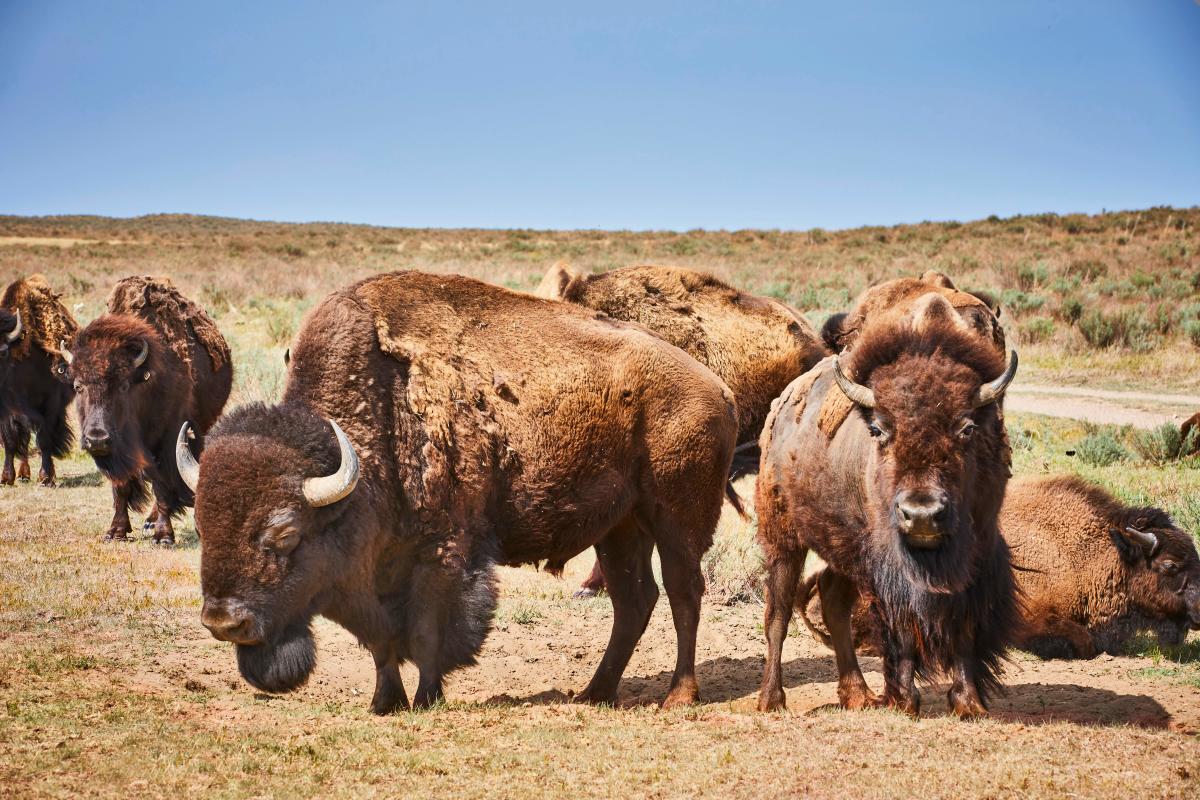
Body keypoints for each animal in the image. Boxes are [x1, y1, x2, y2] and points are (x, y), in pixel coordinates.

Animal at [0, 275, 77, 489]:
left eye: (3, 351)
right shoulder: (10, 412)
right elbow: (11, 441)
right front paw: (6, 478)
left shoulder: (50, 405)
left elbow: (44, 439)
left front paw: (45, 478)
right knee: (24, 439)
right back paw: (23, 474)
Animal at [65, 275, 231, 544]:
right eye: (78, 386)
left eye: (123, 385)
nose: (96, 439)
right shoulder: (119, 449)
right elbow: (121, 486)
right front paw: (116, 532)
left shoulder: (168, 439)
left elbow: (163, 484)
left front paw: (164, 535)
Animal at [180, 271, 739, 714]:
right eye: (203, 526)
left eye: (285, 533)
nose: (223, 621)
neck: (381, 414)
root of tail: (717, 388)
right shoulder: (379, 572)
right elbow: (382, 642)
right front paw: (385, 703)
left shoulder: (444, 553)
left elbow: (428, 634)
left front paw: (428, 698)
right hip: (620, 527)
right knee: (633, 601)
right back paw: (594, 693)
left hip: (677, 516)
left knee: (683, 593)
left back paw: (678, 695)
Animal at [753, 296, 1017, 719]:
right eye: (878, 429)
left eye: (967, 428)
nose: (921, 515)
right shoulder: (890, 567)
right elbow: (903, 626)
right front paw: (905, 700)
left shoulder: (975, 552)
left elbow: (961, 623)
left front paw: (968, 702)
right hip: (785, 540)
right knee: (777, 612)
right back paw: (771, 699)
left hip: (845, 546)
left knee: (833, 599)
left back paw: (858, 694)